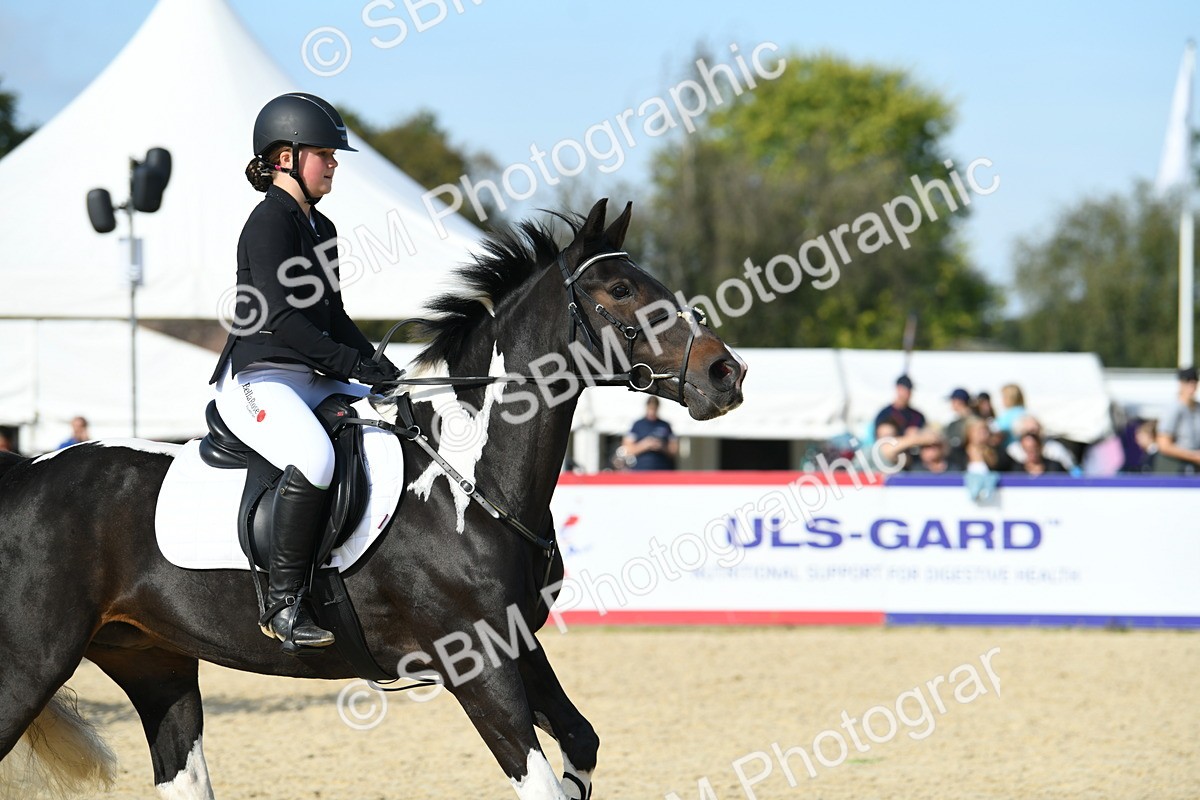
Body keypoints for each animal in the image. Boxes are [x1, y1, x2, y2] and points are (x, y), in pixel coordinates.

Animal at [0, 198, 745, 799]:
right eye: (619, 289)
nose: (725, 373)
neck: (468, 481)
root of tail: (25, 474)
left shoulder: (515, 642)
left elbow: (581, 742)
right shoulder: (474, 661)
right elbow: (538, 782)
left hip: (153, 661)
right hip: (31, 662)